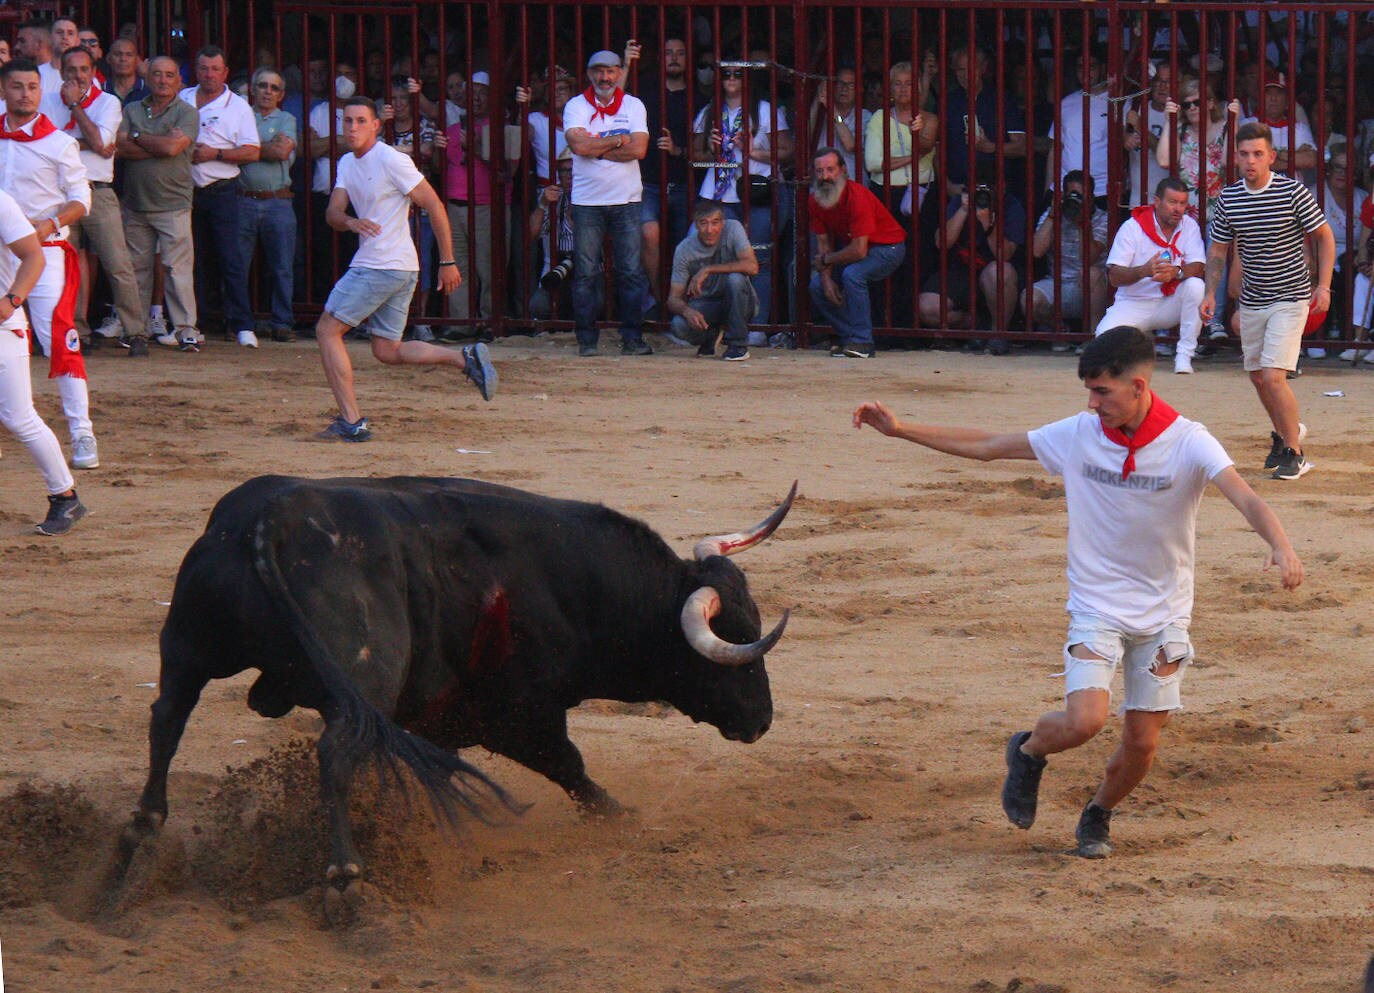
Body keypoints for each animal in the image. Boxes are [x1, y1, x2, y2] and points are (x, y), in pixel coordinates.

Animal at [131, 477, 796, 895]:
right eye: (735, 648)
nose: (762, 720)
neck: (574, 585)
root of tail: (276, 518)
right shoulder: (516, 713)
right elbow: (569, 767)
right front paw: (619, 815)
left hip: (187, 647)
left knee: (167, 716)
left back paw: (145, 826)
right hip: (362, 679)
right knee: (337, 750)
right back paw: (344, 872)